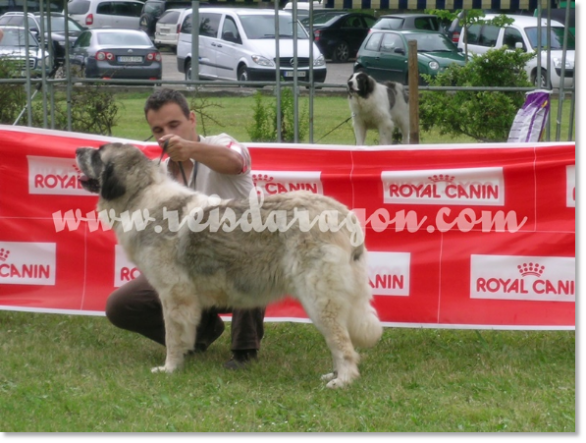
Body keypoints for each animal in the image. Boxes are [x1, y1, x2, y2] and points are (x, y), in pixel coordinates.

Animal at [75, 145, 380, 388]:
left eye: (98, 154)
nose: (78, 150)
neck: (141, 193)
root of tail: (343, 213)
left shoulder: (174, 294)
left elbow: (173, 336)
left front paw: (170, 368)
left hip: (319, 298)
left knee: (341, 343)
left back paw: (343, 380)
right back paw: (334, 375)